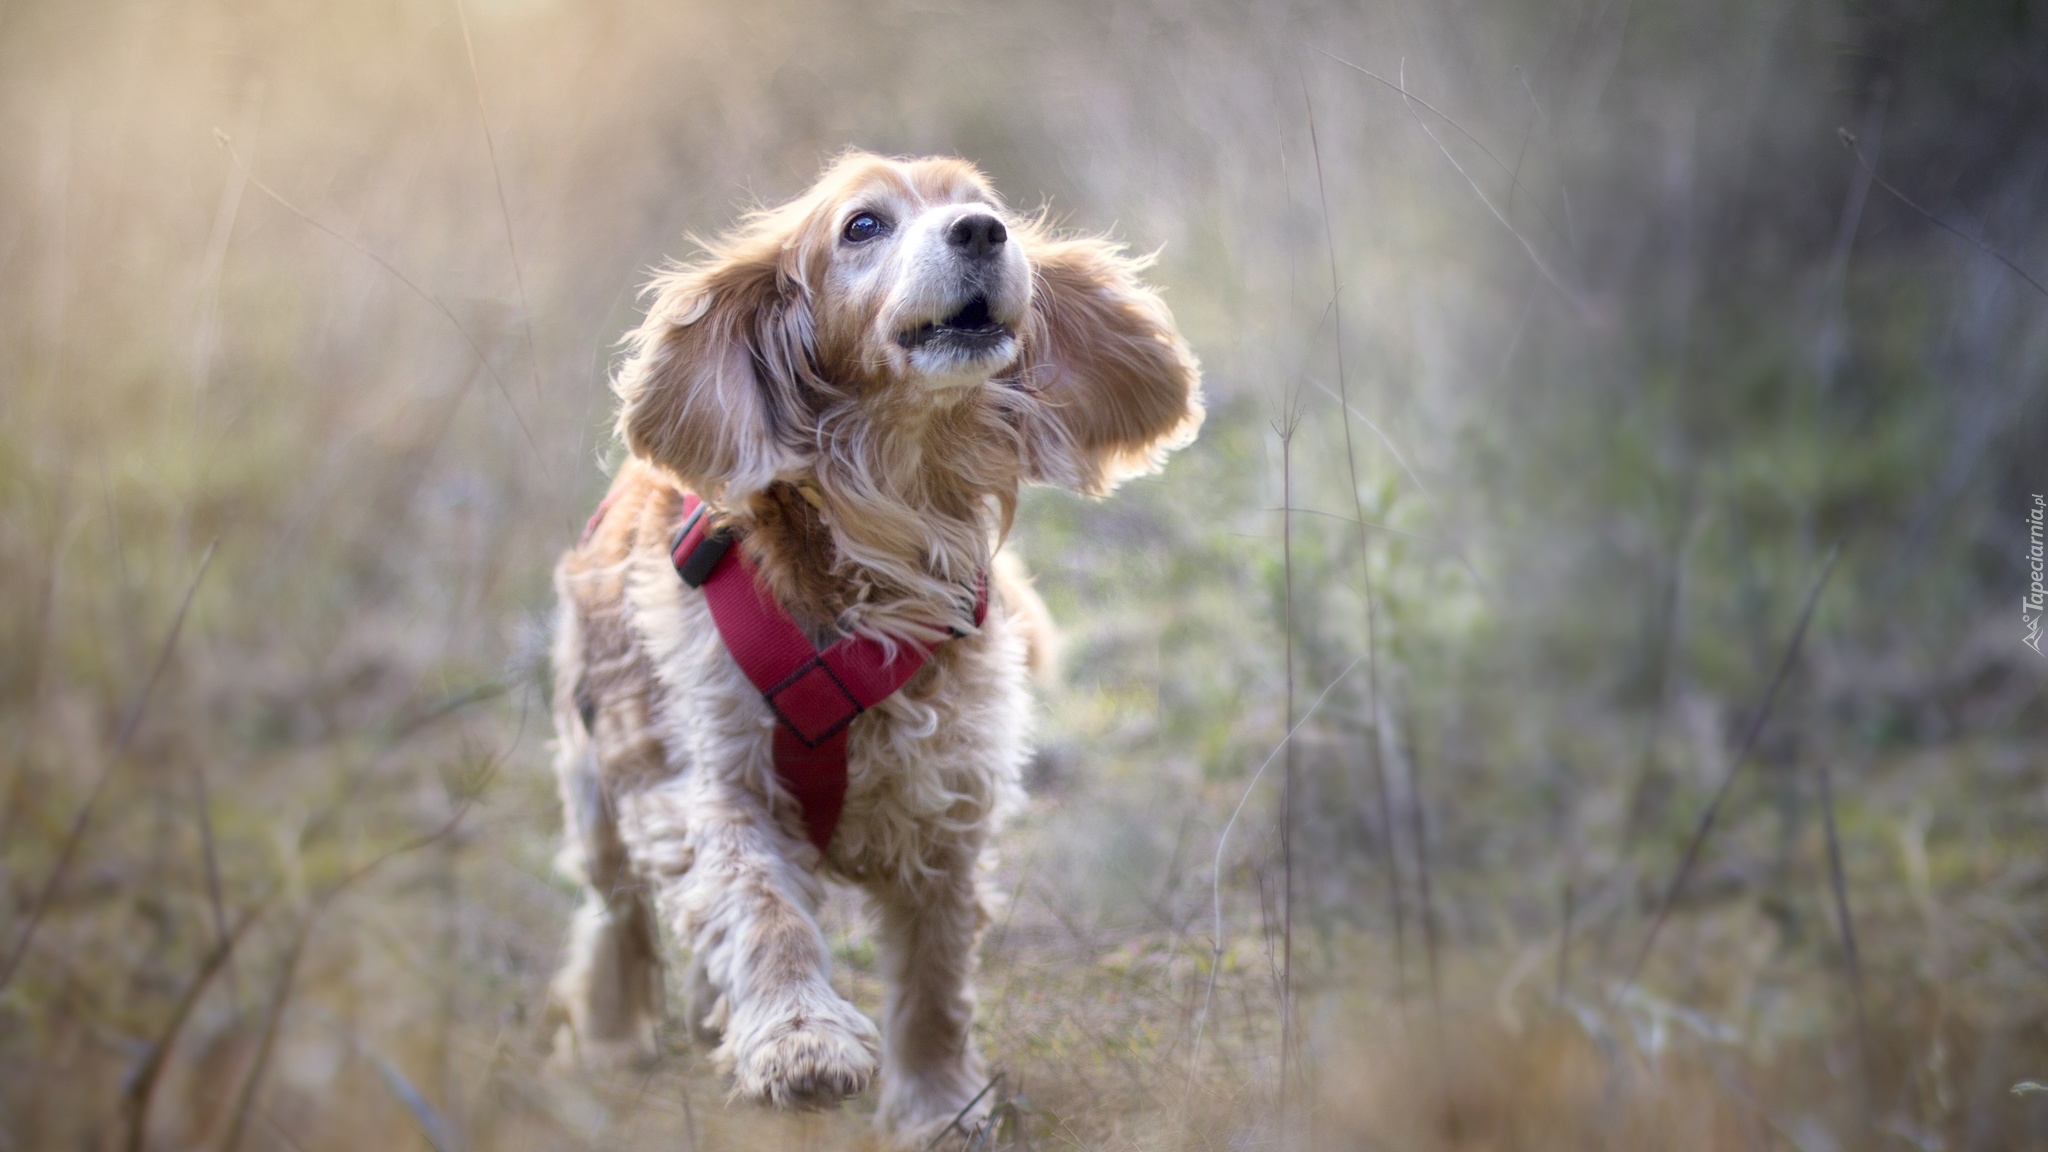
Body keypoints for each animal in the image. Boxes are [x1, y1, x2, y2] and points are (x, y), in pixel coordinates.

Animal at [544, 152, 1196, 1139]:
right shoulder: (717, 781)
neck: (892, 514)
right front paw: (799, 1041)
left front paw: (940, 1105)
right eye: (863, 226)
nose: (981, 232)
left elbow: (934, 980)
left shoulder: (948, 804)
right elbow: (762, 910)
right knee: (612, 914)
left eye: (988, 206)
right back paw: (614, 1039)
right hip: (599, 780)